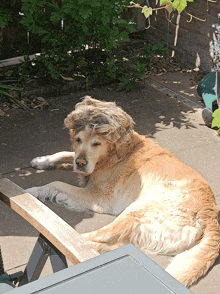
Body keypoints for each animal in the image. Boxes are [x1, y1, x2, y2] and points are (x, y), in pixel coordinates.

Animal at [27, 96, 220, 288]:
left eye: (96, 143)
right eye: (78, 139)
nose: (81, 163)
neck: (115, 154)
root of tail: (210, 215)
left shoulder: (98, 196)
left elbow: (56, 183)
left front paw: (32, 191)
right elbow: (64, 153)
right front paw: (41, 161)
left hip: (137, 209)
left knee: (98, 237)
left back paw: (64, 240)